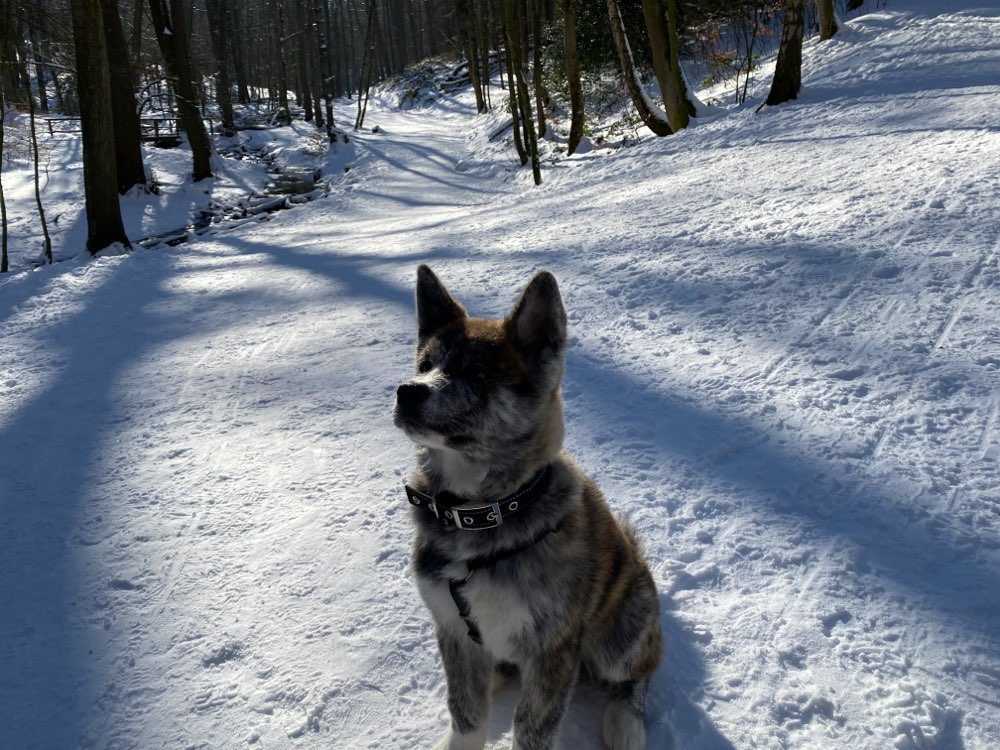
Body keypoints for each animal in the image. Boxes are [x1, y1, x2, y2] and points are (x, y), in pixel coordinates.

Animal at [392, 268, 664, 750]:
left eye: (478, 372)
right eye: (425, 364)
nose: (407, 392)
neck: (481, 512)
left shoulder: (552, 647)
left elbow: (534, 728)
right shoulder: (454, 631)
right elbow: (465, 710)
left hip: (622, 633)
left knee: (638, 673)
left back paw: (625, 725)